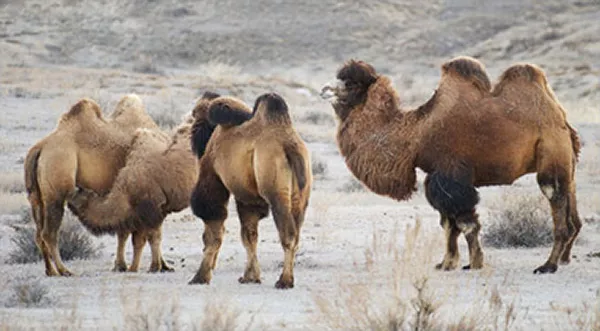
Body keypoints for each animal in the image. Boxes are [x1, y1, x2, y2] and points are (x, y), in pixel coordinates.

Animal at [24, 94, 159, 276]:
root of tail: (40, 148)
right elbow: (151, 232)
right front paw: (159, 266)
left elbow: (123, 231)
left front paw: (121, 265)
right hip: (56, 189)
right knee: (49, 233)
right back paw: (64, 270)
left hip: (37, 198)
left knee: (38, 233)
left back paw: (50, 270)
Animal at [68, 92, 221, 274]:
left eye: (79, 191)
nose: (68, 195)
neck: (126, 189)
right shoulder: (147, 213)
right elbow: (139, 240)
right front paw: (140, 267)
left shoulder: (152, 208)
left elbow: (151, 238)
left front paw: (153, 267)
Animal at [188, 92, 312, 290]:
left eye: (196, 113)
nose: (193, 129)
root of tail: (290, 148)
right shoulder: (249, 198)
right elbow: (249, 235)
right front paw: (250, 277)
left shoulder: (212, 174)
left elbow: (213, 229)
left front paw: (200, 277)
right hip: (301, 197)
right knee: (296, 232)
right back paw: (288, 278)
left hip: (276, 191)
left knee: (288, 234)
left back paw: (284, 280)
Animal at [324, 57, 580, 274]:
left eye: (350, 83)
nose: (324, 89)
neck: (416, 135)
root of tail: (561, 119)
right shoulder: (437, 177)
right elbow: (448, 224)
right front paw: (446, 263)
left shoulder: (451, 177)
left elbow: (465, 224)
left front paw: (474, 263)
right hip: (567, 163)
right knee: (572, 207)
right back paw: (564, 258)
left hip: (551, 153)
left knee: (554, 198)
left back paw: (548, 265)